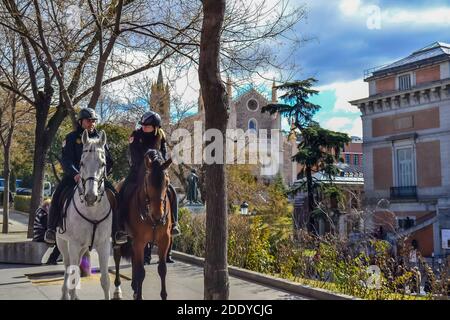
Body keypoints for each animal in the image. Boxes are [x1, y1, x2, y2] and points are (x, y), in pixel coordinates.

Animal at [56, 129, 112, 300]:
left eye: (103, 164)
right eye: (81, 164)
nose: (90, 197)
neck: (92, 210)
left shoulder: (104, 245)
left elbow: (105, 280)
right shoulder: (73, 244)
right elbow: (73, 276)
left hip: (82, 248)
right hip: (63, 244)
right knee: (68, 267)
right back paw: (64, 294)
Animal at [113, 150, 173, 300]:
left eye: (167, 182)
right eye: (148, 182)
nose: (158, 216)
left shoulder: (164, 240)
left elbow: (162, 269)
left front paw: (163, 295)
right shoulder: (139, 241)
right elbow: (141, 271)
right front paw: (139, 295)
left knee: (134, 259)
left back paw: (134, 287)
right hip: (119, 239)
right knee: (117, 257)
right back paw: (118, 288)